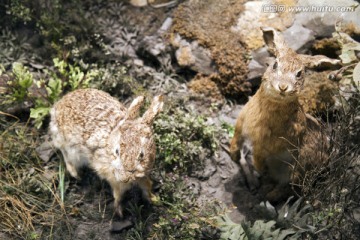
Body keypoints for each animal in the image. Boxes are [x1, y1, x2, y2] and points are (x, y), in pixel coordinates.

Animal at [49, 88, 163, 218]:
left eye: (142, 155)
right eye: (117, 151)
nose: (125, 178)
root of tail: (57, 107)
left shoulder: (143, 175)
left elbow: (147, 186)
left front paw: (153, 199)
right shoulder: (113, 179)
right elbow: (118, 195)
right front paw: (119, 212)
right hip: (69, 147)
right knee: (66, 156)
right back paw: (76, 174)